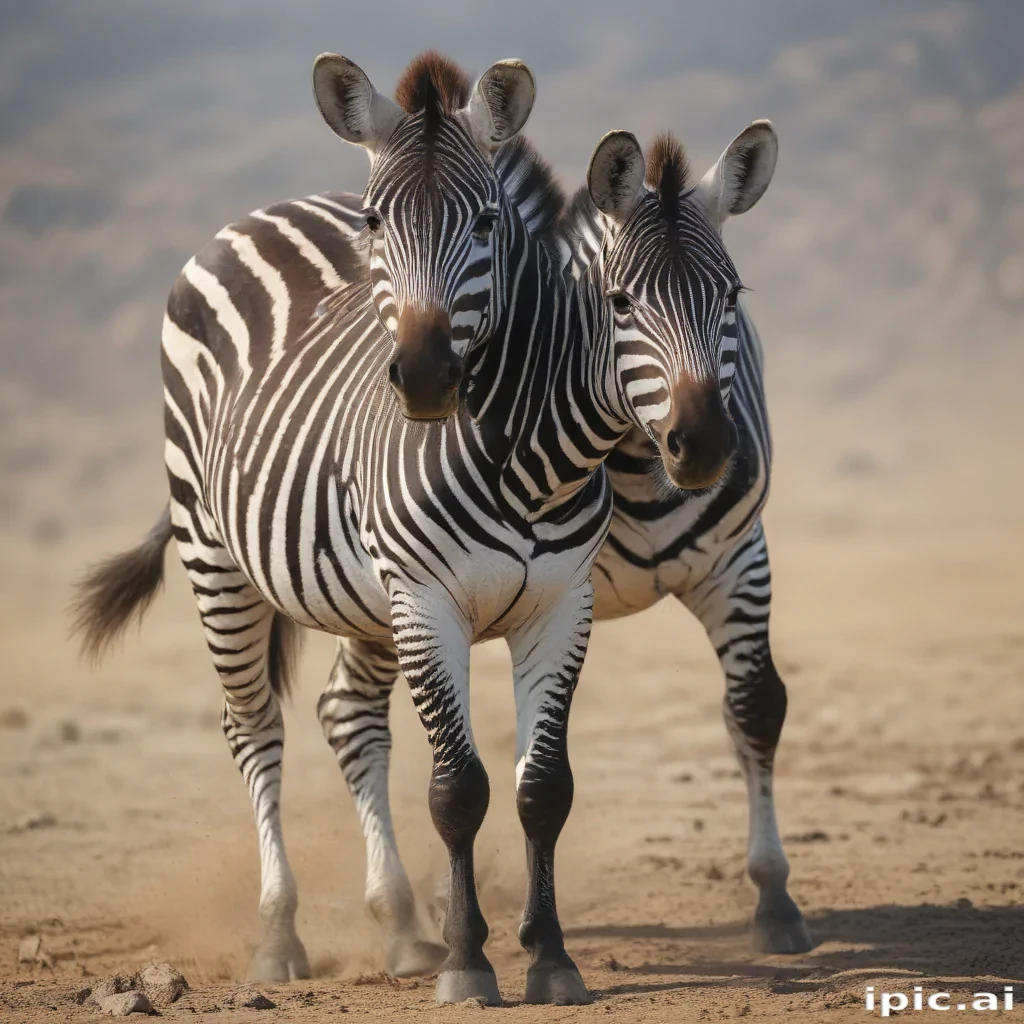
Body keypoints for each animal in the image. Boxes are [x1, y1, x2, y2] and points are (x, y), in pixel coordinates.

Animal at [73, 51, 781, 1006]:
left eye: (732, 297)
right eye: (622, 301)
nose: (702, 444)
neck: (541, 455)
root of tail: (267, 211)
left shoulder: (581, 601)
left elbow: (552, 783)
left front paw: (550, 957)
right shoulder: (430, 600)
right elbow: (458, 789)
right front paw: (469, 961)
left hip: (357, 595)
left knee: (348, 714)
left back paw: (404, 925)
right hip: (218, 557)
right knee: (255, 728)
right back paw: (281, 938)